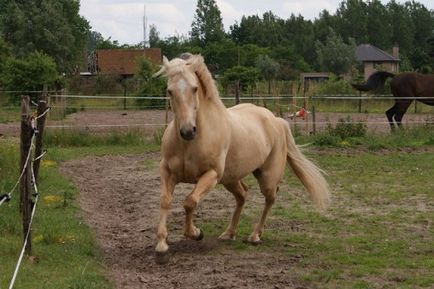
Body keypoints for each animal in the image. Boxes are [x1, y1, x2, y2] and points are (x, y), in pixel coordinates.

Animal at [153, 54, 328, 264]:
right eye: (169, 91)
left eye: (194, 88)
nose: (188, 131)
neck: (191, 143)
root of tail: (276, 120)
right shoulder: (167, 171)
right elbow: (165, 200)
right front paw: (161, 246)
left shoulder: (211, 175)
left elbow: (190, 201)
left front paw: (196, 233)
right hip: (231, 178)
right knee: (243, 195)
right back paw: (229, 233)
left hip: (266, 177)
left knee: (270, 198)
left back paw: (255, 236)